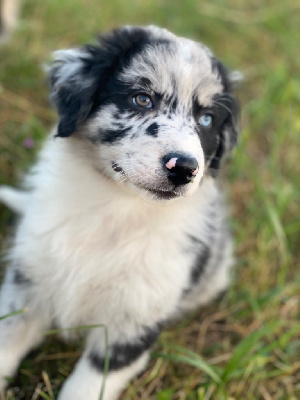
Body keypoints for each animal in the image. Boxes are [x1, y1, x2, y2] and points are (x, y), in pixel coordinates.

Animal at [0, 25, 240, 400]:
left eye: (206, 119)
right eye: (142, 99)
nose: (184, 168)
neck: (116, 207)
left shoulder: (135, 321)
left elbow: (86, 387)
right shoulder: (27, 285)